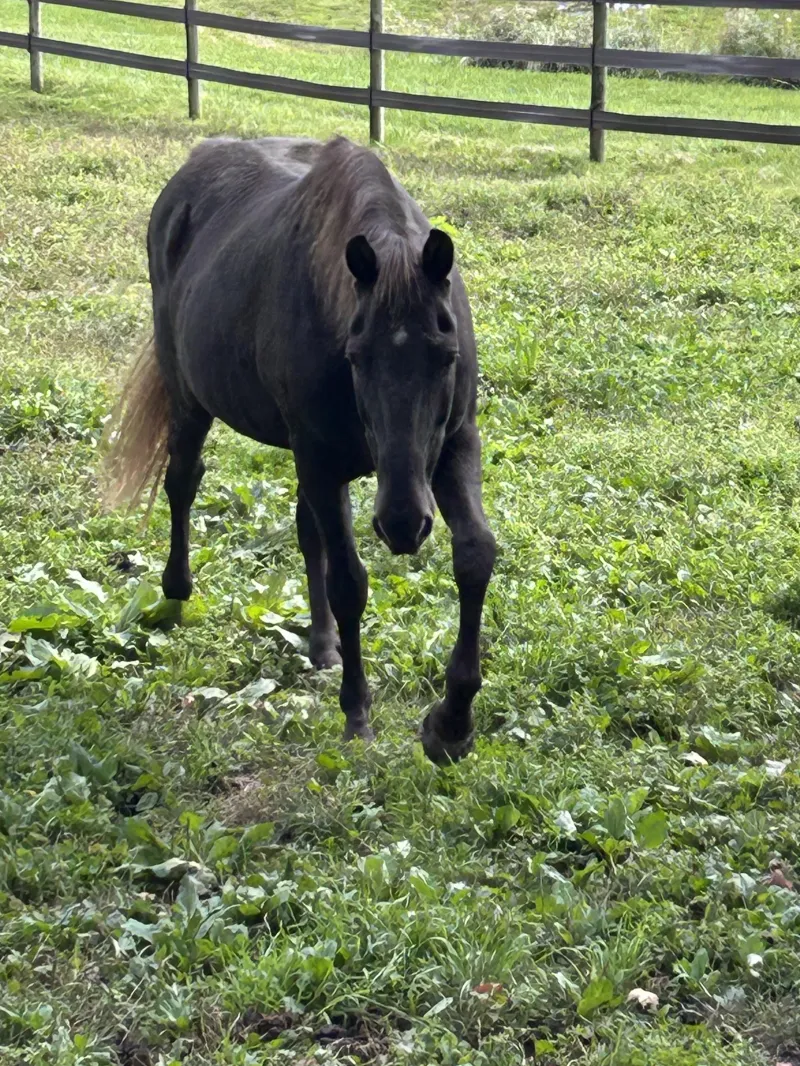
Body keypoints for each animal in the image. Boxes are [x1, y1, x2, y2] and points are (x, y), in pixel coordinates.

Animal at [104, 135, 496, 764]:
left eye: (447, 356)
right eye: (356, 356)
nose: (403, 524)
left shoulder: (453, 445)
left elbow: (476, 555)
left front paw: (451, 724)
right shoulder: (321, 462)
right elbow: (349, 583)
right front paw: (357, 715)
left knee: (306, 531)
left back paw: (322, 644)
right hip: (190, 398)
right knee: (183, 482)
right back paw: (175, 591)